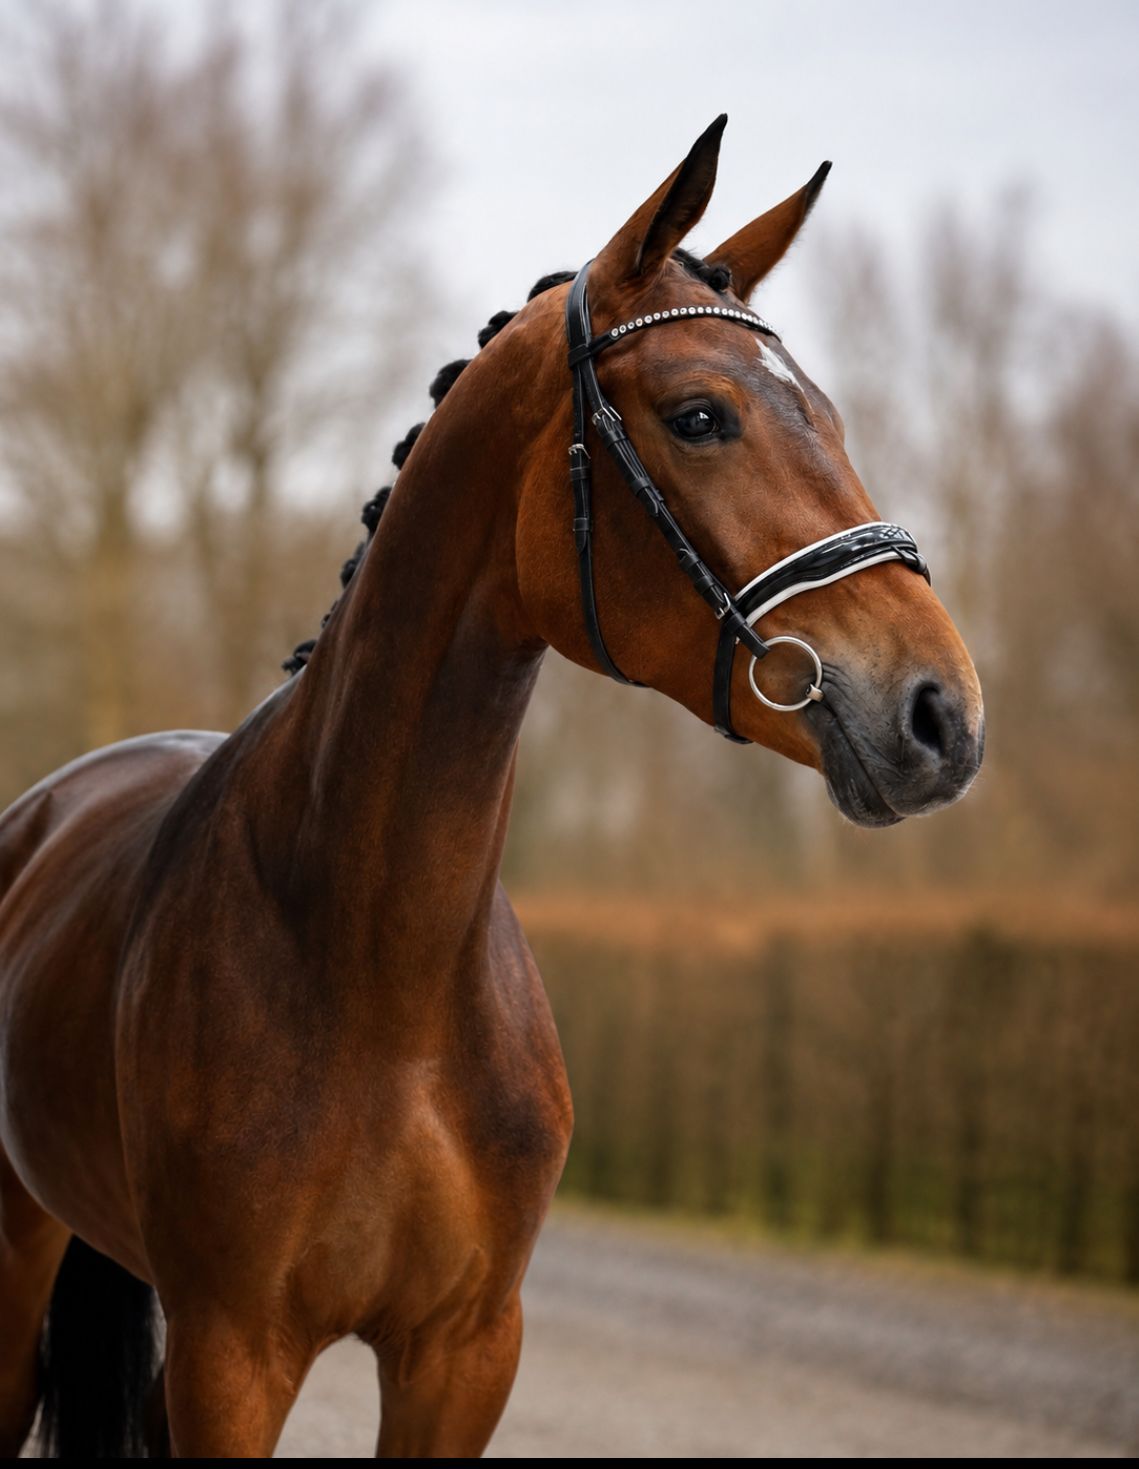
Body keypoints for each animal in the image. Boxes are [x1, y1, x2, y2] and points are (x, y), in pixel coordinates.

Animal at [0, 116, 983, 1458]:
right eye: (699, 415)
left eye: (825, 414)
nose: (941, 711)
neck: (383, 979)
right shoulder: (231, 1355)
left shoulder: (464, 1351)